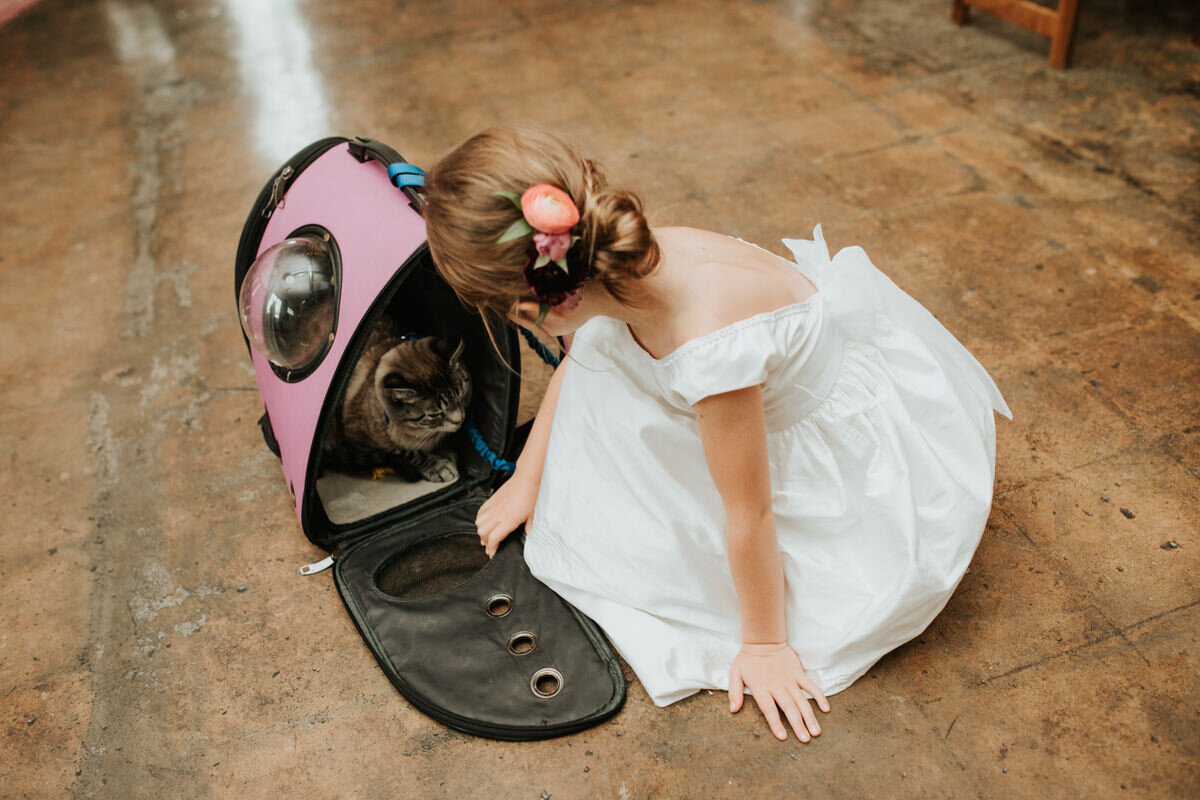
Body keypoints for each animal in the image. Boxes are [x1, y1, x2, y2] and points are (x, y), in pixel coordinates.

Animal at [324, 319, 472, 482]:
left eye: (461, 396)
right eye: (435, 414)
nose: (460, 420)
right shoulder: (359, 440)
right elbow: (406, 452)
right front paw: (438, 466)